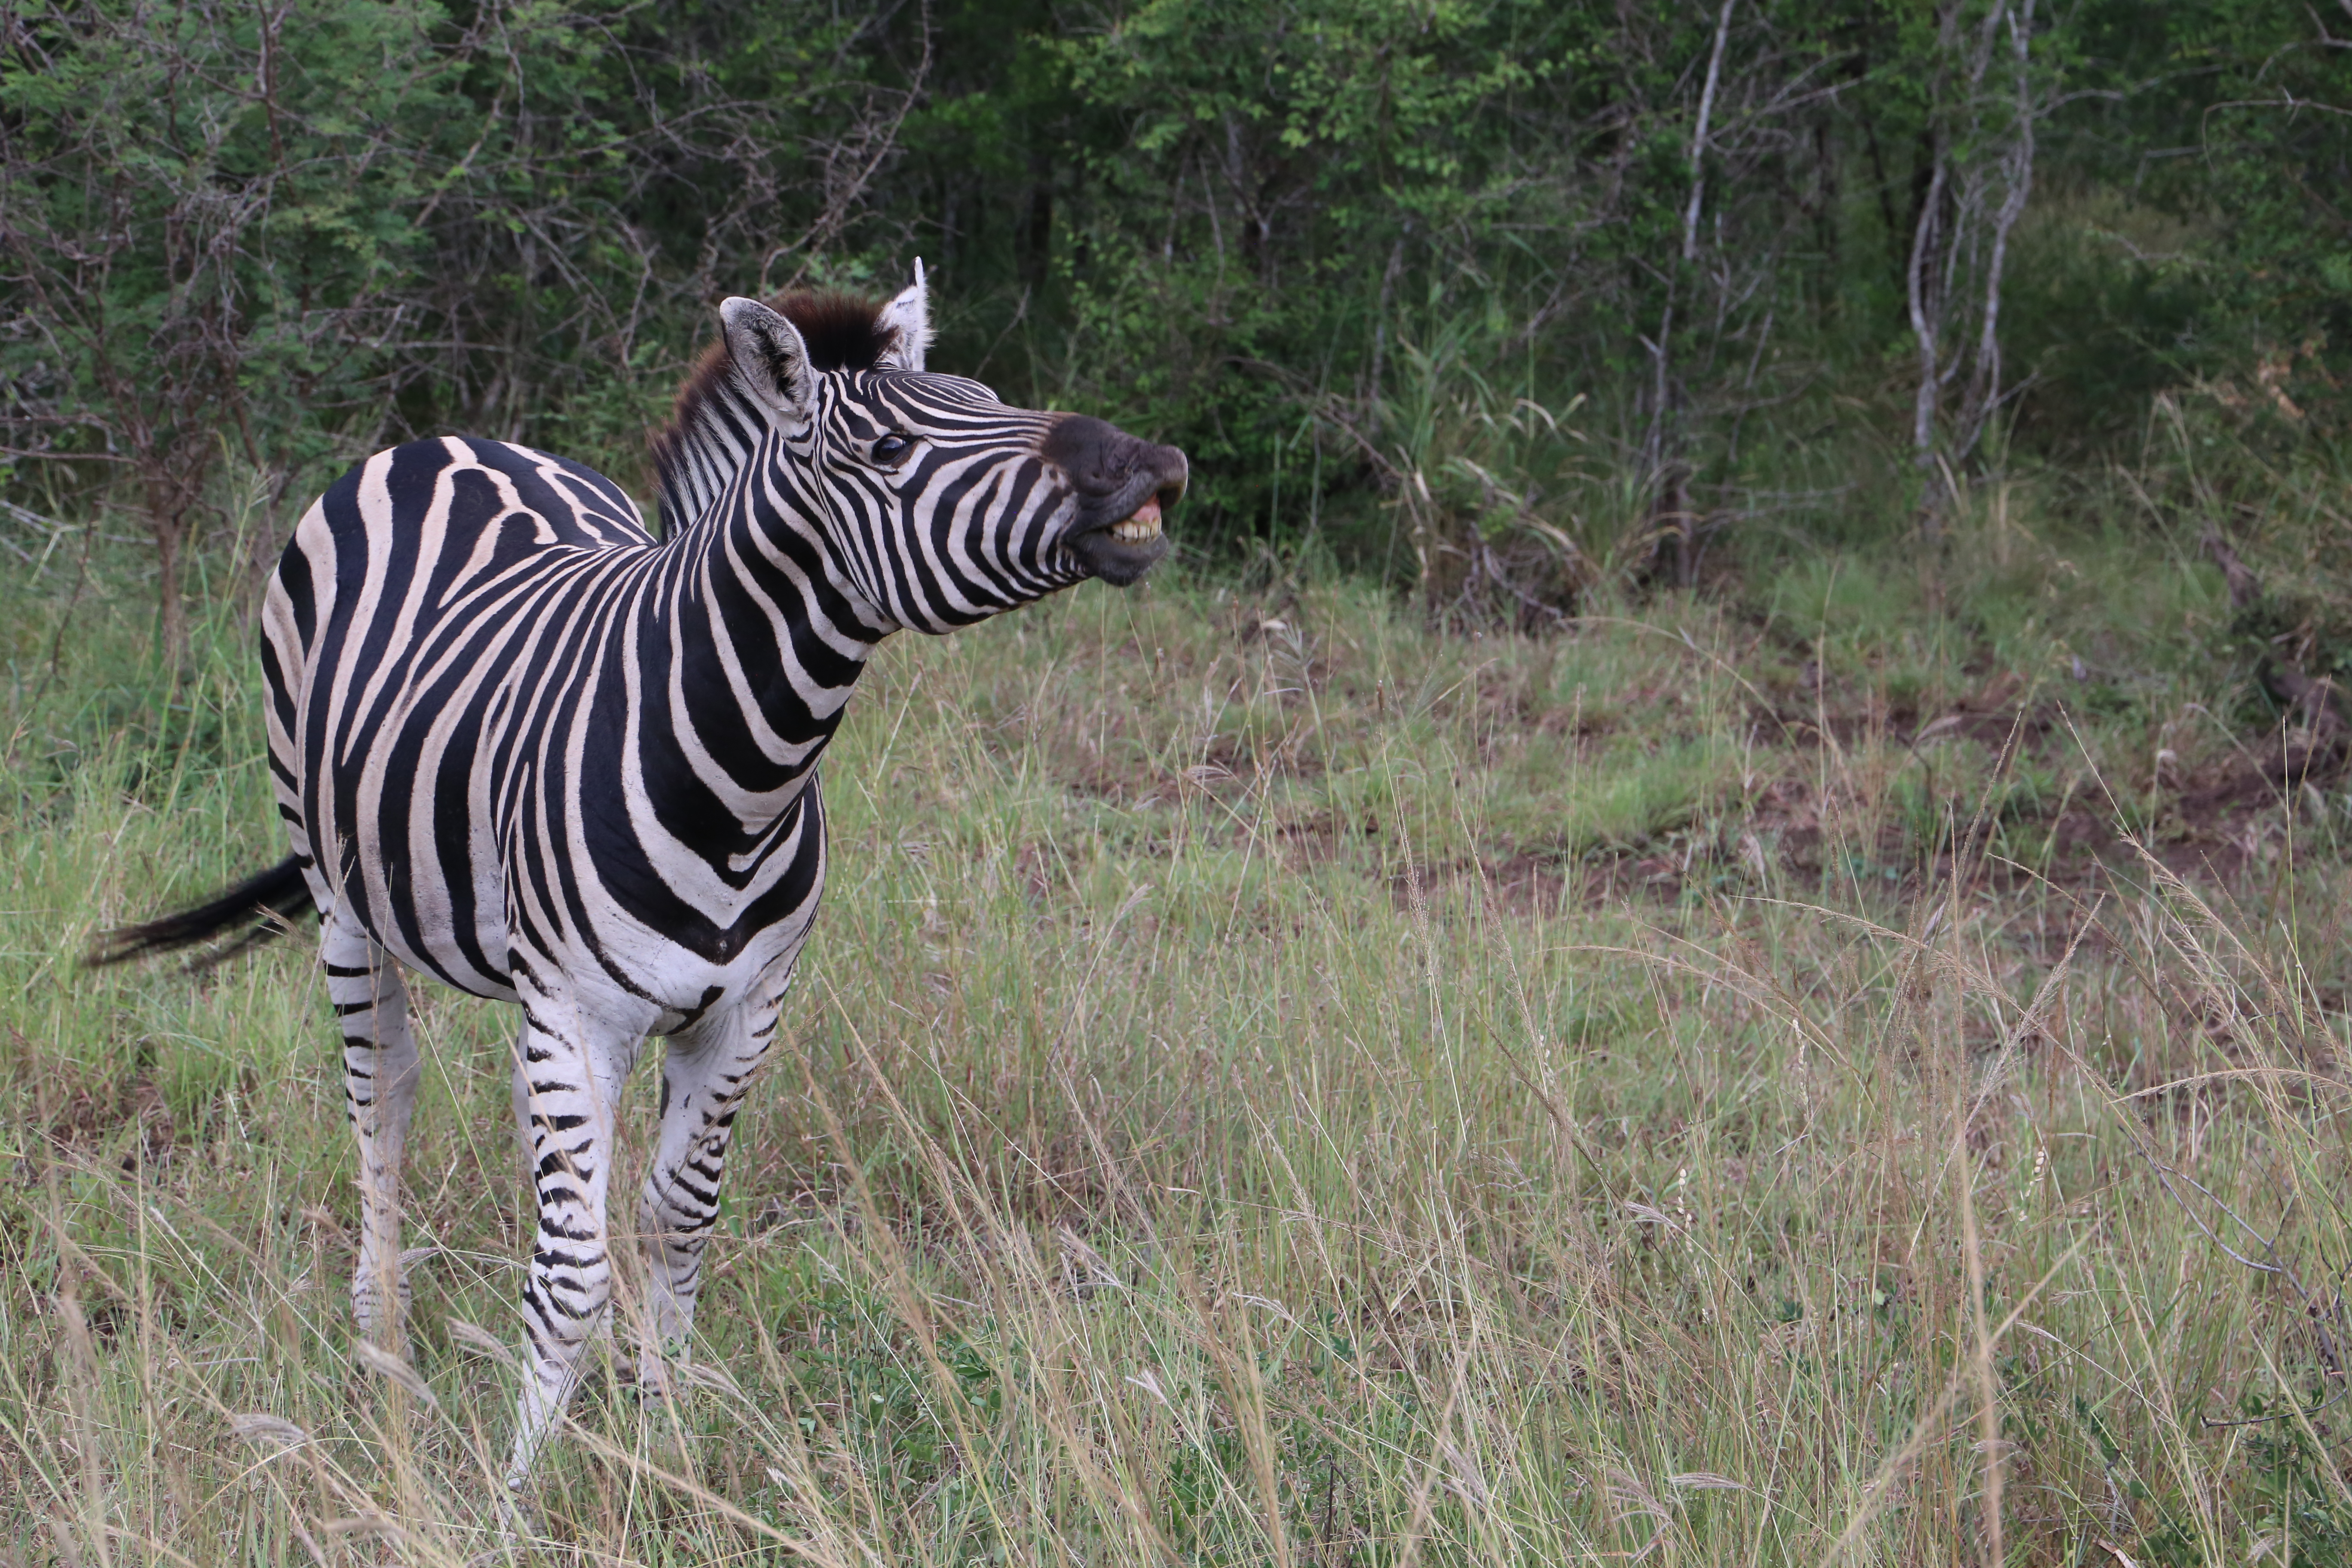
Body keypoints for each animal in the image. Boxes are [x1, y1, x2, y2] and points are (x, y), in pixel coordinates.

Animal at [92, 264, 1186, 1487]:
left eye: (990, 398)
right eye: (892, 449)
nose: (1149, 463)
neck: (742, 777)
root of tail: (438, 442)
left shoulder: (741, 1012)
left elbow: (676, 1223)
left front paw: (660, 1439)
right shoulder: (576, 1012)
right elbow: (565, 1278)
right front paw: (515, 1495)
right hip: (341, 895)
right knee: (382, 1097)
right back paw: (384, 1360)